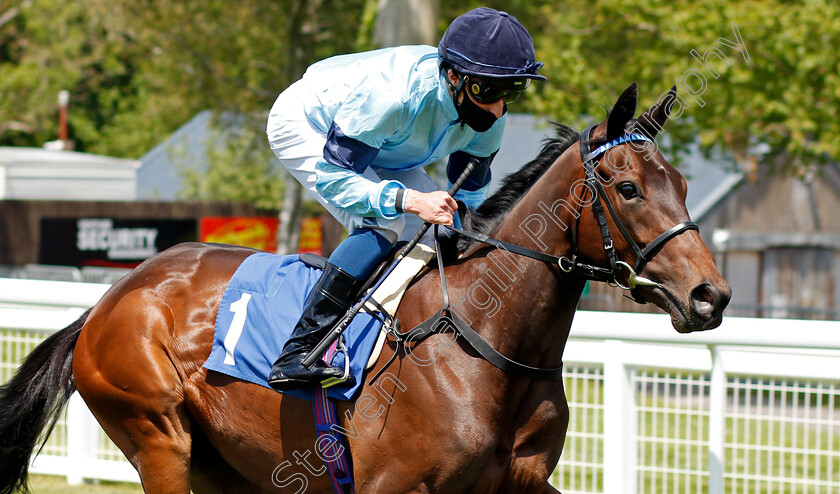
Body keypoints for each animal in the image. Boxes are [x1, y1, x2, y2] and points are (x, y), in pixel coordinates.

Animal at [1, 83, 728, 492]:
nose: (710, 296)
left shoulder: (519, 483)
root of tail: (110, 300)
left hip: (225, 465)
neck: (487, 345)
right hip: (160, 438)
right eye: (628, 188)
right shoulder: (391, 486)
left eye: (682, 183)